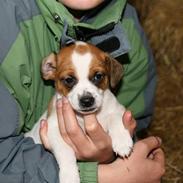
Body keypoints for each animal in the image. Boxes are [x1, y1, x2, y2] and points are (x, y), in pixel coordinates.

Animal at [25, 41, 133, 183]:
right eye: (69, 80)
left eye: (98, 76)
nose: (87, 100)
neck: (83, 117)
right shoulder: (54, 130)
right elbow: (66, 153)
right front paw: (69, 175)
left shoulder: (117, 109)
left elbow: (115, 119)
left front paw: (122, 141)